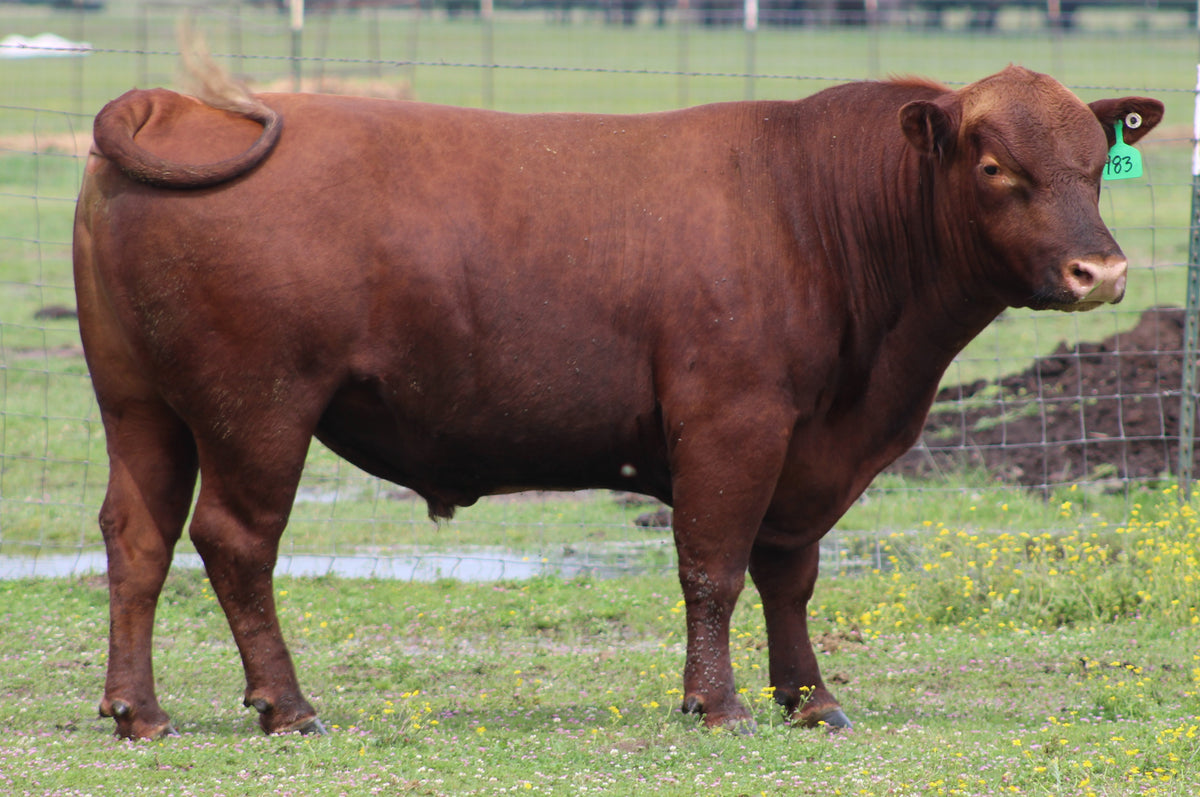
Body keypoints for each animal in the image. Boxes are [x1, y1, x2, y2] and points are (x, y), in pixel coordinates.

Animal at [73, 64, 1162, 739]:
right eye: (996, 166)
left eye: (1096, 161)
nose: (1101, 270)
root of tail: (178, 103)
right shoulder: (734, 421)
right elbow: (714, 568)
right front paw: (719, 704)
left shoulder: (807, 449)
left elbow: (790, 572)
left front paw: (810, 697)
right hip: (259, 407)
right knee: (235, 539)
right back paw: (287, 705)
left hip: (140, 406)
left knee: (138, 536)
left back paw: (140, 712)